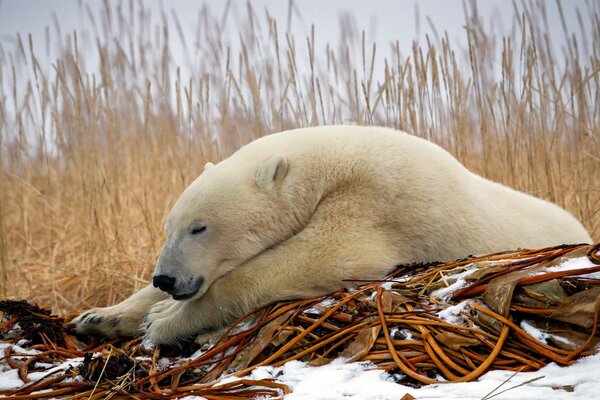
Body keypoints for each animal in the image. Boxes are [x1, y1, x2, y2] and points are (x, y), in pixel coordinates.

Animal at [71, 126, 592, 344]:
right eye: (169, 226)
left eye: (200, 226)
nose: (166, 279)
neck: (327, 163)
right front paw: (100, 317)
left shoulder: (373, 199)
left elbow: (322, 258)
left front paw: (163, 321)